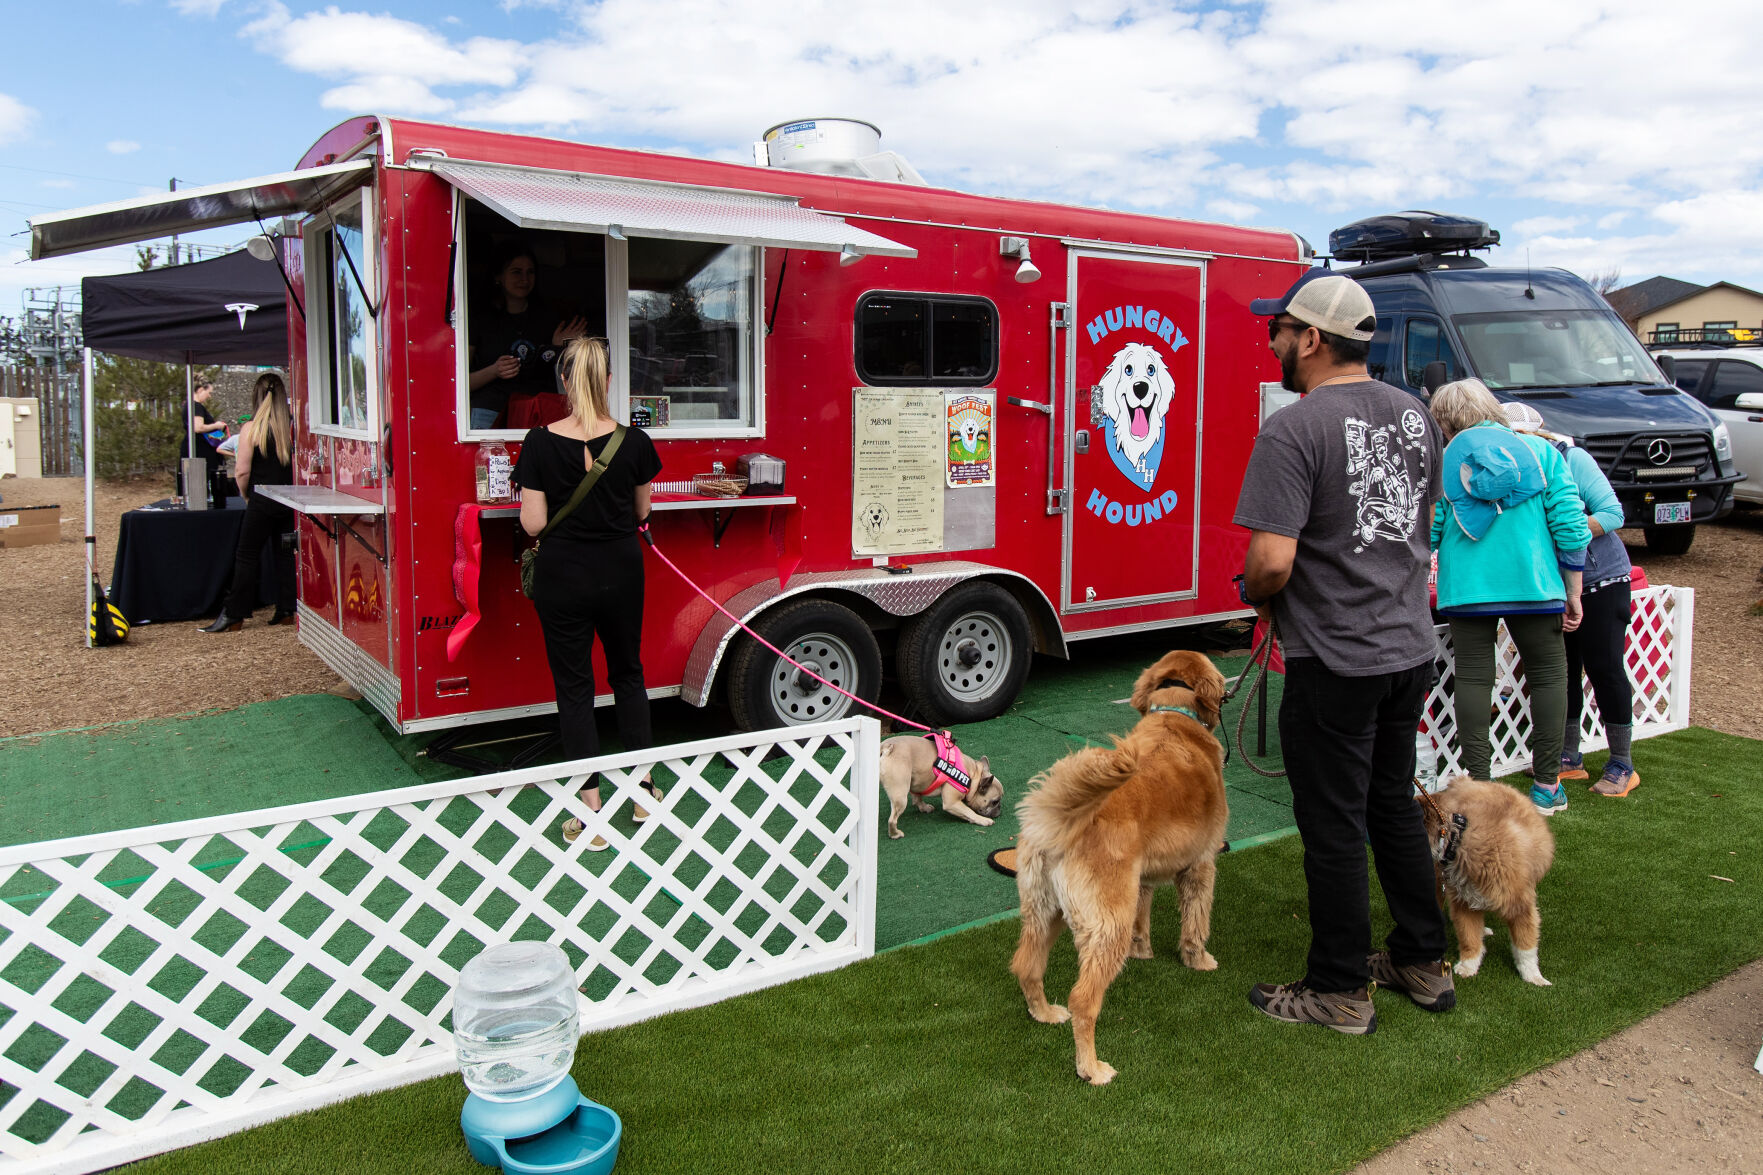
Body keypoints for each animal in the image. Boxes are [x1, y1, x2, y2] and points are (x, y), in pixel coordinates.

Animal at [1008, 649, 1227, 1079]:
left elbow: (1144, 916)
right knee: (1083, 999)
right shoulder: (1201, 864)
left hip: (1045, 909)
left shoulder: (1141, 879)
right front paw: (1198, 960)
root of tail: (1061, 823)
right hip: (1107, 924)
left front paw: (1142, 952)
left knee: (1026, 966)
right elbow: (1196, 922)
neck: (1174, 713)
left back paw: (1043, 1013)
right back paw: (1091, 1068)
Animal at [1424, 772, 1551, 980]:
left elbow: (1525, 945)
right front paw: (1468, 966)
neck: (1457, 840)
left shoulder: (1521, 906)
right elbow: (1469, 938)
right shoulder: (1463, 901)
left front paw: (1533, 976)